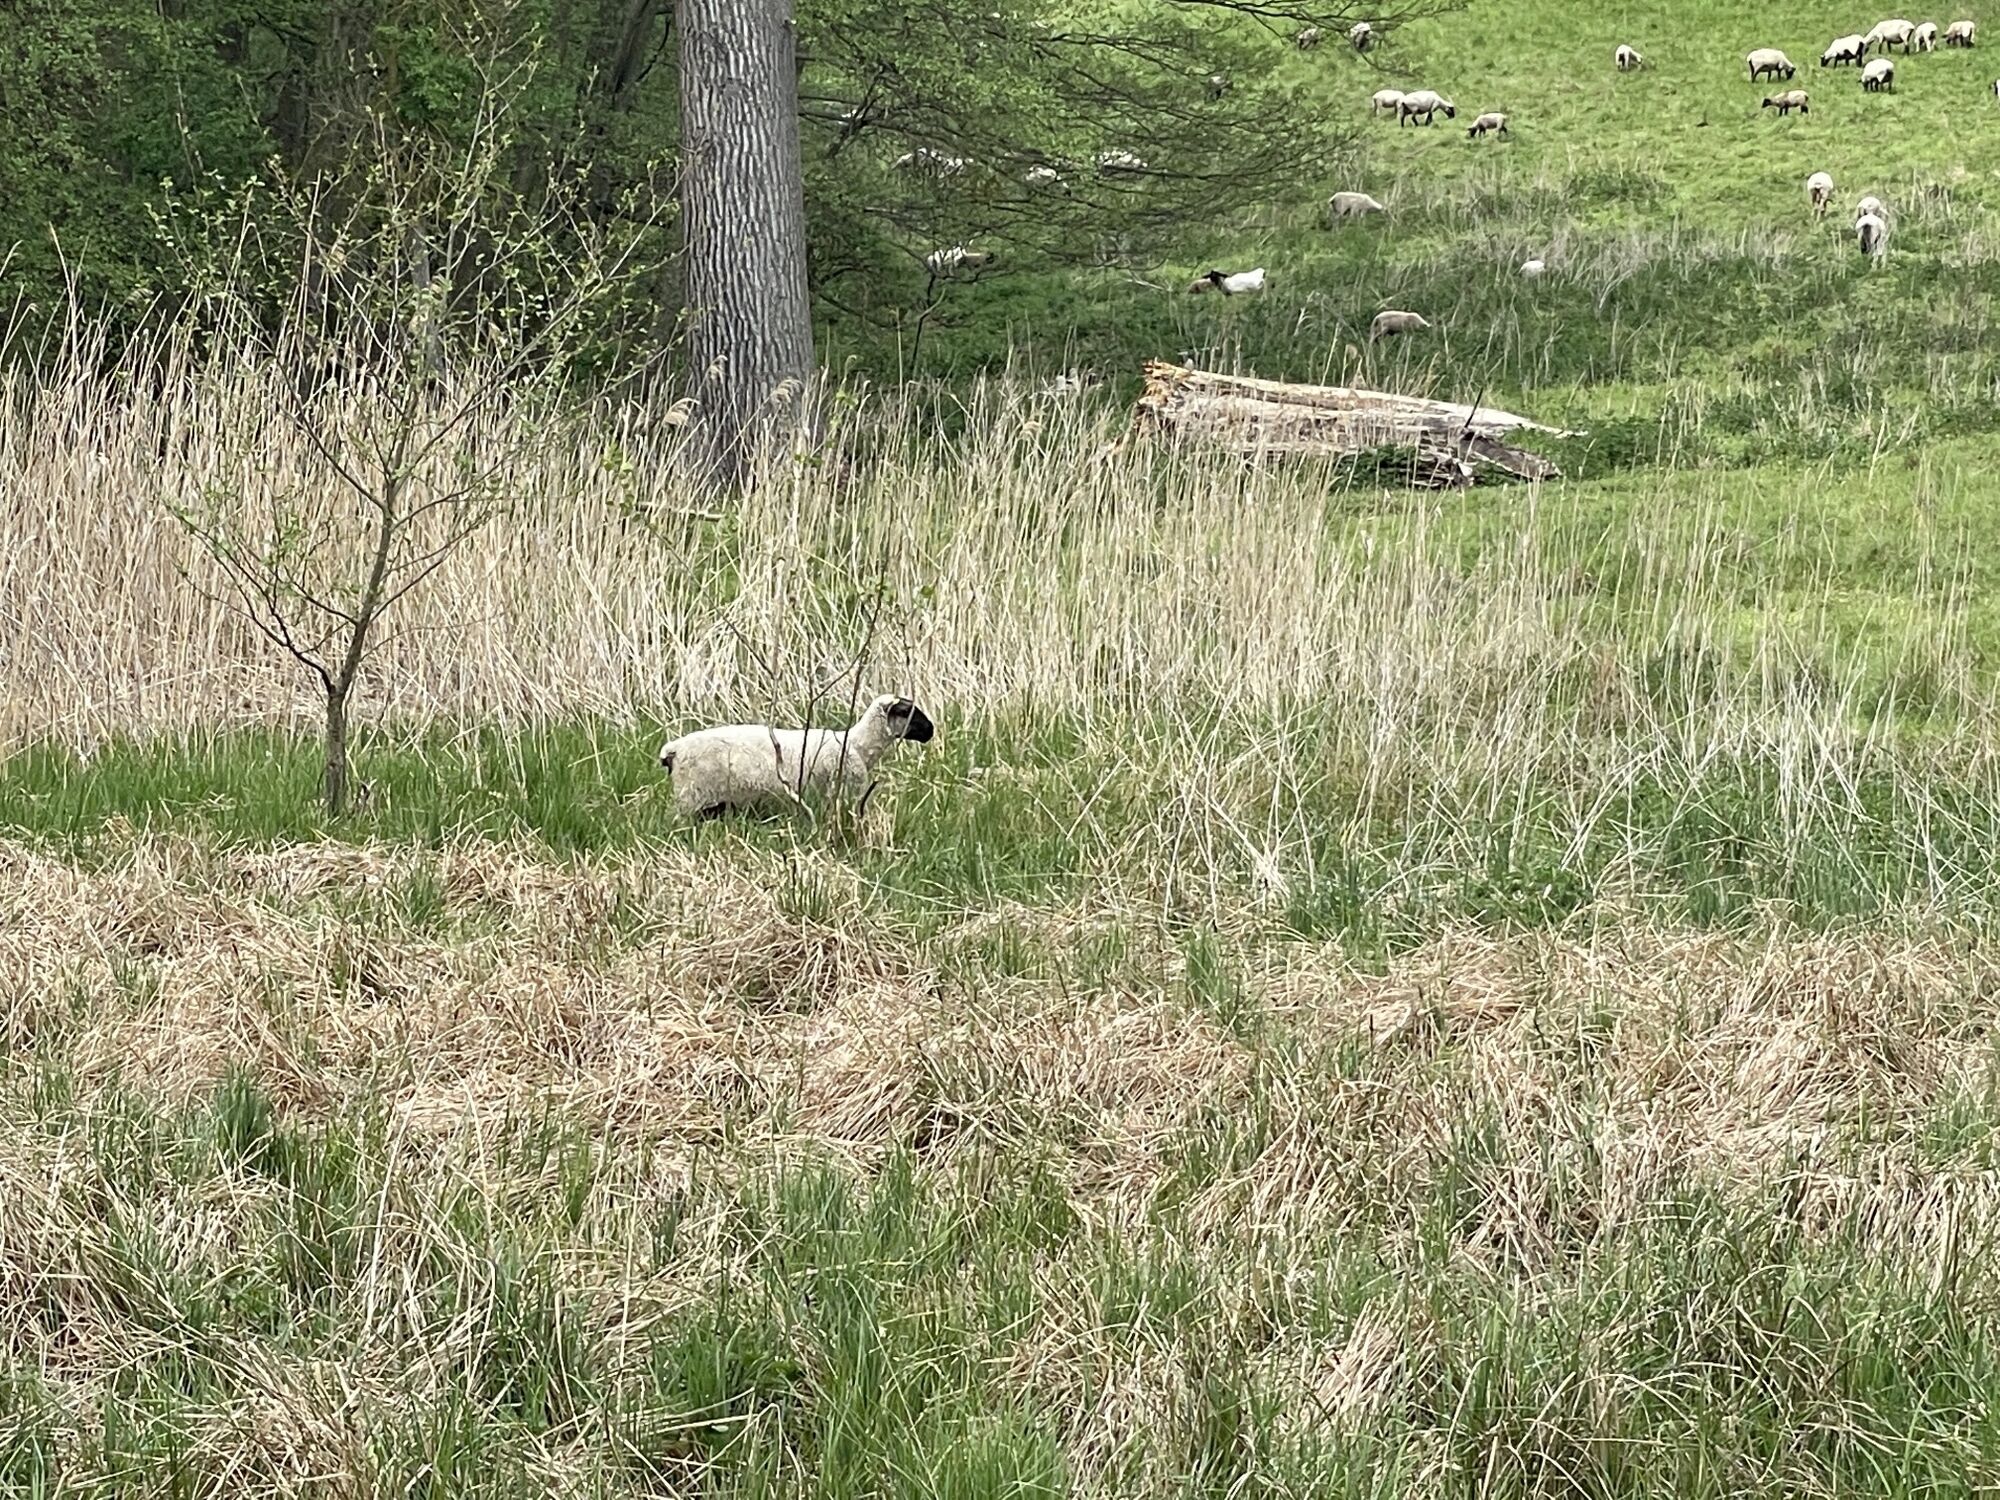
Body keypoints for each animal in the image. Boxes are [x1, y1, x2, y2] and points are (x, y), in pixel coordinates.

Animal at [657, 695, 937, 818]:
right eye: (908, 712)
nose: (931, 730)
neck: (857, 745)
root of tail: (673, 750)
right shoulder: (843, 792)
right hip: (691, 796)